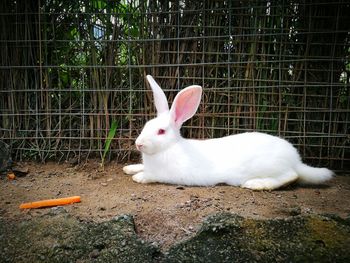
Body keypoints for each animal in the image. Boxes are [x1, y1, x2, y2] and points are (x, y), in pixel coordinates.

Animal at [123, 75, 334, 191]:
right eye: (146, 125)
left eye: (161, 131)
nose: (138, 144)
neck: (168, 148)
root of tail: (295, 161)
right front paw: (129, 168)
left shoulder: (168, 174)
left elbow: (152, 175)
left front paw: (139, 177)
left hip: (271, 167)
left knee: (290, 176)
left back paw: (256, 184)